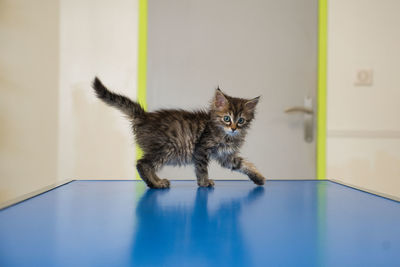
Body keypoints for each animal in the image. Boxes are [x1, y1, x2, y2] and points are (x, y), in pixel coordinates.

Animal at [93, 78, 266, 191]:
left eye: (241, 120)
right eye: (227, 119)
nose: (234, 128)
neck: (226, 135)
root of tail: (144, 116)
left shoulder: (226, 156)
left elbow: (243, 164)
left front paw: (258, 177)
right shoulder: (201, 149)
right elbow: (202, 169)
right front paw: (204, 182)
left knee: (148, 165)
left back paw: (157, 181)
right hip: (166, 147)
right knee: (142, 164)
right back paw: (155, 184)